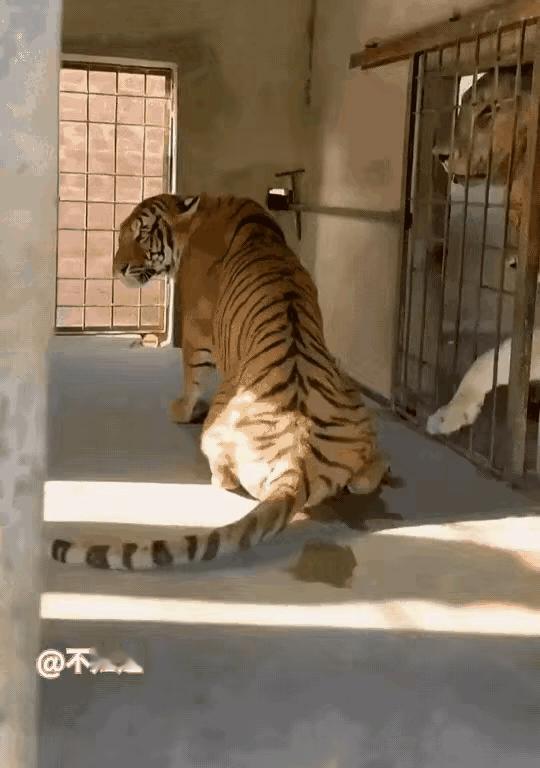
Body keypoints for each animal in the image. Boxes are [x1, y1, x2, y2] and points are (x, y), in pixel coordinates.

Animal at [51, 193, 390, 570]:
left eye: (140, 235)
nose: (117, 269)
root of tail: (297, 462)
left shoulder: (195, 327)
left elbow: (191, 374)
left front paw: (181, 409)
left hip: (216, 429)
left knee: (225, 478)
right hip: (355, 405)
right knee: (367, 475)